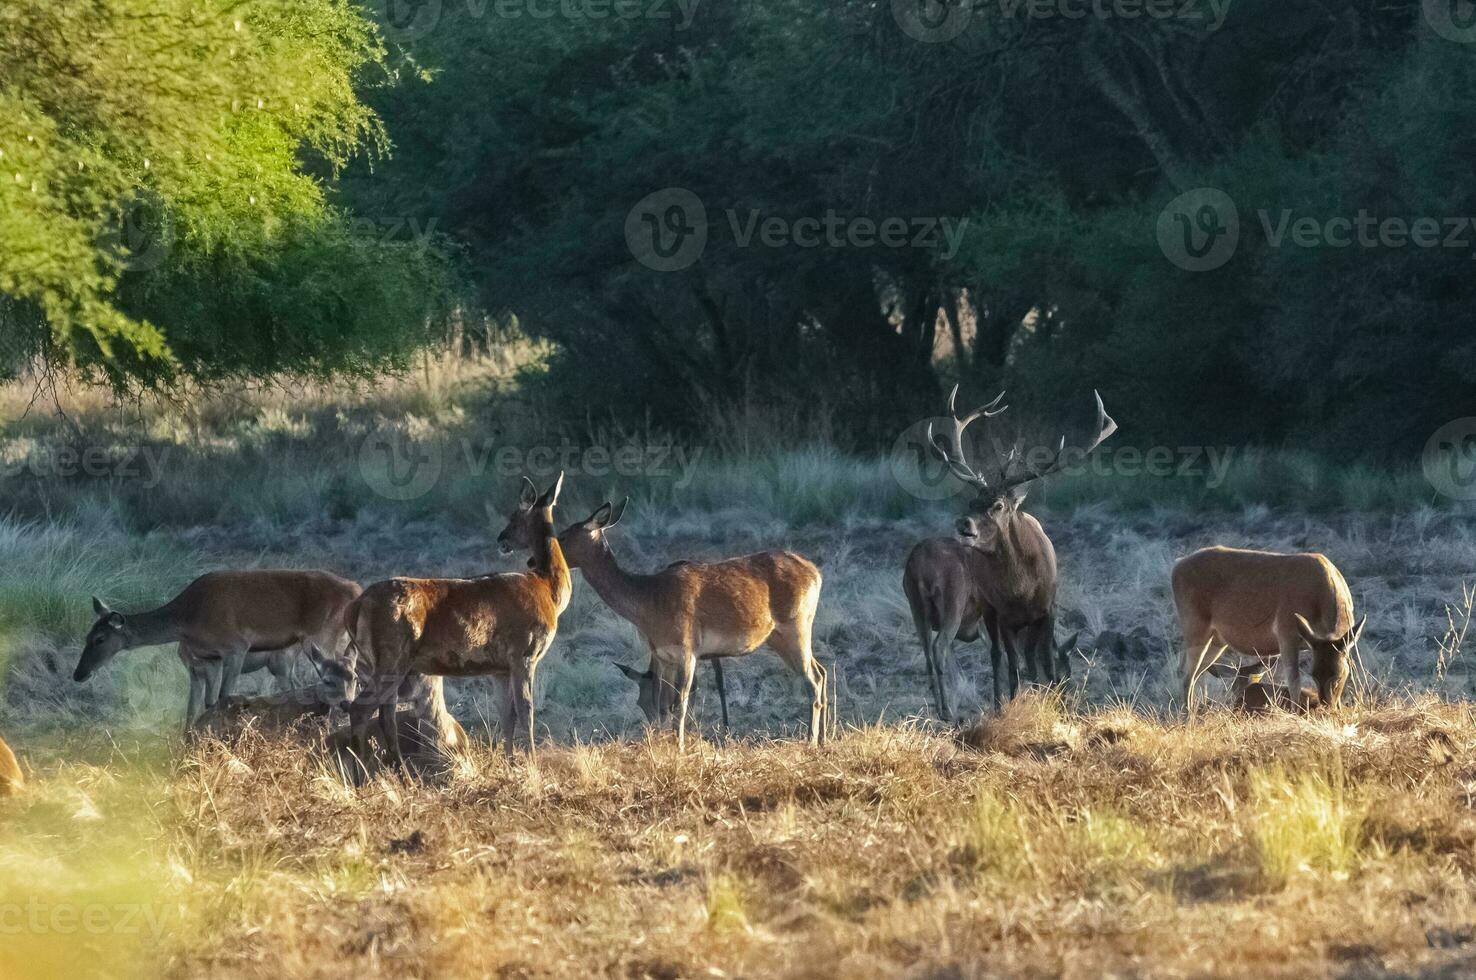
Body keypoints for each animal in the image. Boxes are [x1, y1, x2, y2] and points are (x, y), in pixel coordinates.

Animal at [74, 569, 363, 732]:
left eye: (99, 639)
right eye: (86, 635)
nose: (79, 673)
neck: (185, 620)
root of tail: (355, 589)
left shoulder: (235, 646)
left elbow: (224, 696)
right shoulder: (207, 661)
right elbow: (198, 705)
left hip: (322, 636)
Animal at [317, 475, 569, 767]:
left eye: (514, 517)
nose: (501, 538)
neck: (547, 589)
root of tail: (355, 607)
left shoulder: (500, 668)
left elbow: (507, 715)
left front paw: (509, 762)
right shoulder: (524, 653)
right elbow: (526, 712)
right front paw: (532, 765)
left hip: (377, 662)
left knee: (385, 714)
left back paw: (398, 770)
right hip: (392, 656)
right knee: (361, 709)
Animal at [554, 498, 832, 749]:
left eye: (563, 536)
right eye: (638, 703)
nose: (542, 559)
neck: (649, 604)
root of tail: (816, 573)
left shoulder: (687, 649)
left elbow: (681, 700)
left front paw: (679, 746)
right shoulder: (663, 655)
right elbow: (664, 702)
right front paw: (662, 743)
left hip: (797, 624)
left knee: (812, 679)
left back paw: (810, 741)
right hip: (779, 637)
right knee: (821, 670)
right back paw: (823, 739)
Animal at [921, 386, 1115, 699]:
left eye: (999, 505)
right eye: (972, 502)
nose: (964, 524)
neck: (1022, 590)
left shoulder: (1048, 610)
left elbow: (1045, 664)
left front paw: (1052, 698)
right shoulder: (1004, 616)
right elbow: (1013, 666)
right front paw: (1018, 700)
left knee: (1028, 659)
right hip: (986, 608)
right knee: (997, 657)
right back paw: (999, 700)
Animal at [1168, 543, 1363, 711]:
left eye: (1338, 676)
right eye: (1313, 674)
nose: (1326, 707)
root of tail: (1177, 565)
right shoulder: (1286, 630)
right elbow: (1293, 680)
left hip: (1217, 639)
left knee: (1197, 673)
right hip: (1194, 624)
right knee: (1186, 676)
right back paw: (1187, 719)